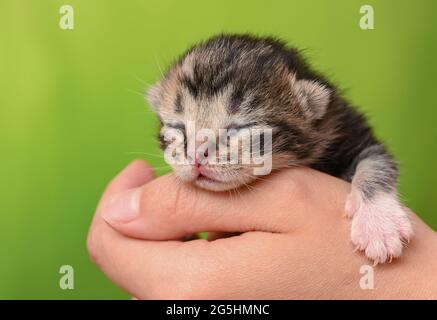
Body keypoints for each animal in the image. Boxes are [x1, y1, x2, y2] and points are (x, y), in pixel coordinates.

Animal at [146, 33, 412, 264]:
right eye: (178, 127)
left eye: (239, 128)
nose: (195, 156)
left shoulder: (352, 132)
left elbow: (376, 162)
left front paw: (379, 225)